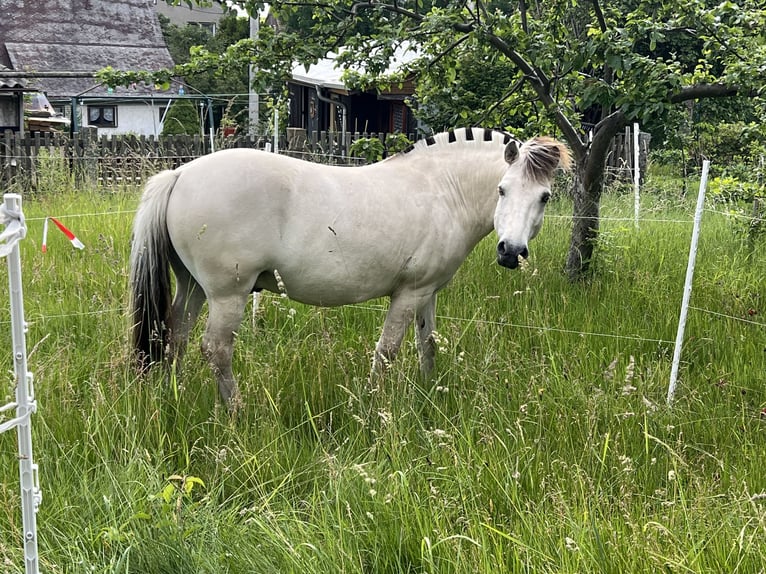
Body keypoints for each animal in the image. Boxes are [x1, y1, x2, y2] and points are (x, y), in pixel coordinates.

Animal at [129, 127, 571, 409]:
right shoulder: (408, 294)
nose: (510, 252)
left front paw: (429, 396)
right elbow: (387, 352)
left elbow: (427, 345)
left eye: (545, 197)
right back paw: (236, 410)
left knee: (174, 336)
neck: (441, 189)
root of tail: (181, 173)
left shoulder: (428, 292)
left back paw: (172, 395)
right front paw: (374, 408)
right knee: (216, 349)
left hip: (193, 287)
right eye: (502, 190)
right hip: (227, 295)